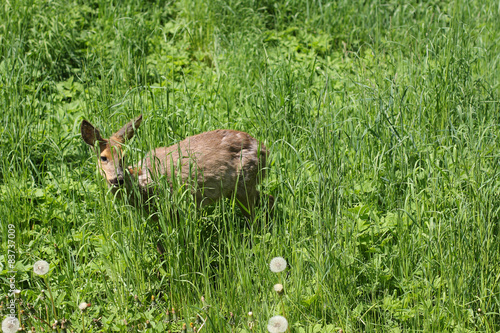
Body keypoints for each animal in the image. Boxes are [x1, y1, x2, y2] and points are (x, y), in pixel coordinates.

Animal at [80, 113, 274, 223]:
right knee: (268, 198)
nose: (117, 179)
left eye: (124, 156)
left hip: (244, 183)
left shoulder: (170, 206)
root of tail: (265, 149)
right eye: (103, 157)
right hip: (237, 189)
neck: (140, 182)